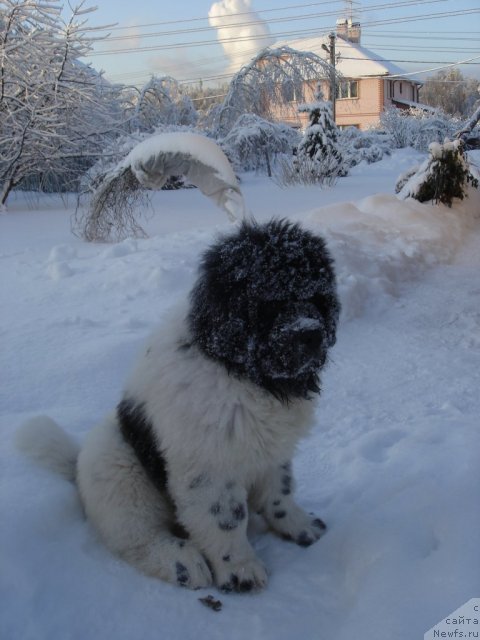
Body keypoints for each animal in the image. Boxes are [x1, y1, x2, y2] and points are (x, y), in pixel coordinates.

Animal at [17, 218, 342, 592]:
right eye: (269, 302)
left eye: (316, 297)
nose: (311, 334)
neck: (241, 374)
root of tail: (78, 460)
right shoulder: (209, 466)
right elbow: (225, 519)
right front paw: (240, 569)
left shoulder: (272, 450)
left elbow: (281, 491)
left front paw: (298, 524)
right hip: (120, 470)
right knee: (135, 537)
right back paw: (181, 562)